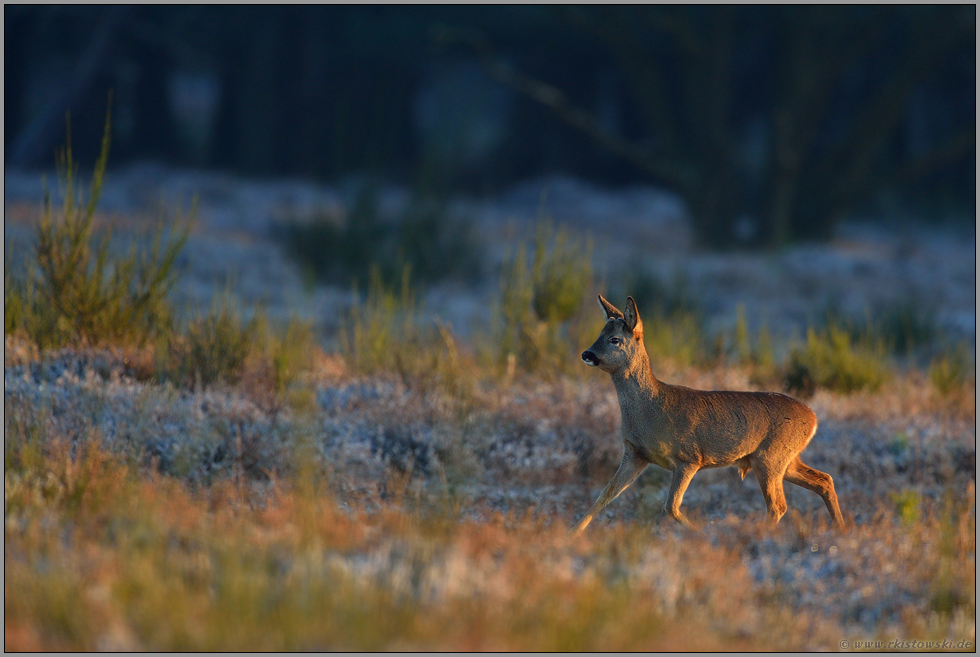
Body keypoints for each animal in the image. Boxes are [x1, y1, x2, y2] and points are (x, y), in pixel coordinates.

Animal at [571, 294, 845, 535]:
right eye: (599, 334)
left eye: (615, 339)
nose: (586, 354)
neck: (650, 410)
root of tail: (813, 418)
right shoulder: (635, 453)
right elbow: (604, 495)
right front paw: (574, 533)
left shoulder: (689, 457)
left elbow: (671, 507)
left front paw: (700, 532)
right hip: (785, 459)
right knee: (824, 480)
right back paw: (842, 529)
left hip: (770, 458)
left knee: (778, 505)